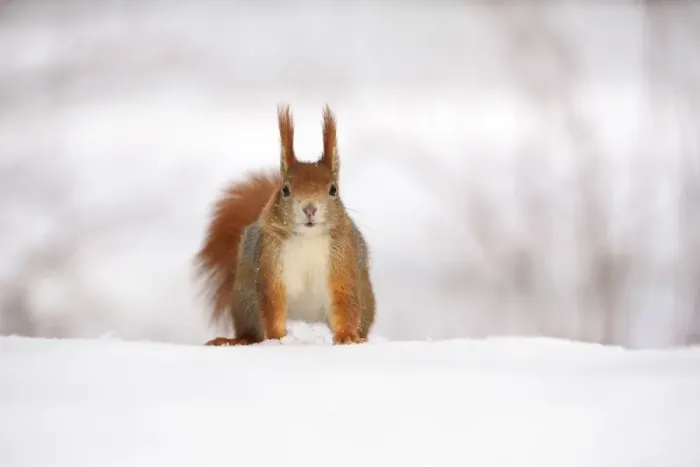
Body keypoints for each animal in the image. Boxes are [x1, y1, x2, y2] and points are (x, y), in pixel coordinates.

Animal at [194, 104, 376, 346]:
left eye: (333, 190)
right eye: (286, 189)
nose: (309, 209)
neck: (308, 238)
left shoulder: (342, 260)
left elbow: (345, 301)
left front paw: (347, 337)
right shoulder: (270, 262)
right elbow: (272, 304)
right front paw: (278, 340)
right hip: (244, 301)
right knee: (250, 330)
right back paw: (238, 340)